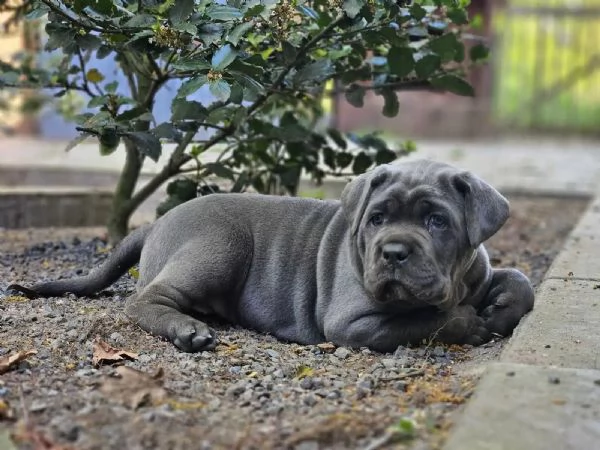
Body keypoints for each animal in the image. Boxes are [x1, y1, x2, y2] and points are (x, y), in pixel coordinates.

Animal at [8, 160, 536, 354]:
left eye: (437, 221)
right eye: (377, 218)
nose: (393, 252)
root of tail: (156, 223)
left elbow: (519, 279)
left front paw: (501, 304)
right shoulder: (352, 323)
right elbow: (426, 320)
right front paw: (468, 319)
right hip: (220, 246)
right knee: (144, 300)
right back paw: (186, 329)